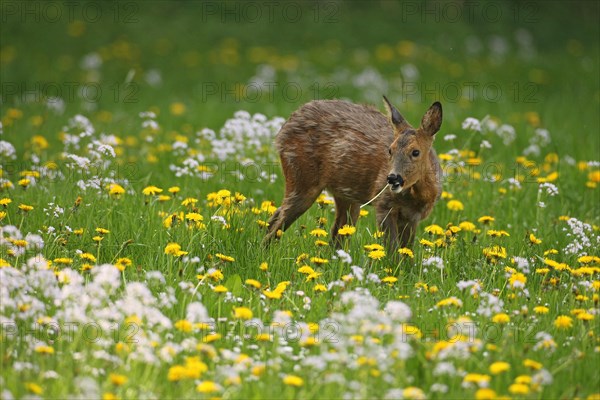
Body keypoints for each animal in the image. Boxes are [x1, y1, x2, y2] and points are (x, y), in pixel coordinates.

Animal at [264, 95, 442, 248]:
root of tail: (282, 131)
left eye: (416, 152)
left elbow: (406, 254)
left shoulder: (412, 217)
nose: (392, 178)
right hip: (301, 177)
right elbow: (393, 251)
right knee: (278, 224)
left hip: (345, 197)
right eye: (390, 150)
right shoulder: (384, 204)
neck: (417, 197)